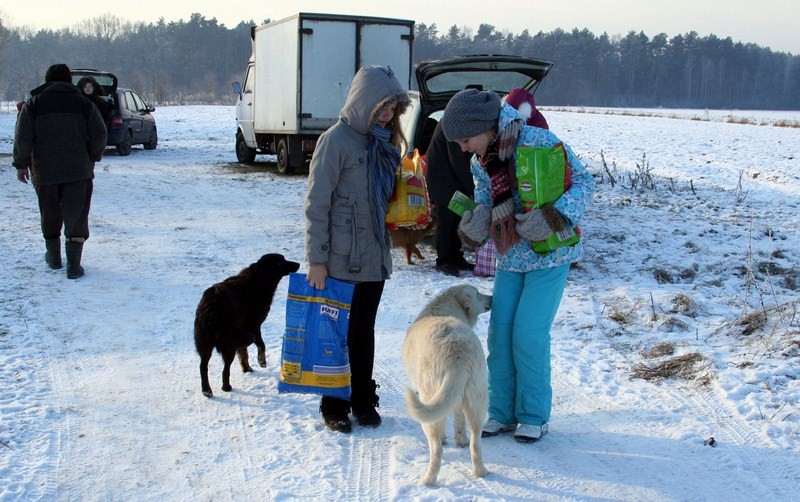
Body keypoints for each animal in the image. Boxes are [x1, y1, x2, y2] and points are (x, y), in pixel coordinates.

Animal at [194, 253, 300, 398]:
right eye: (280, 262)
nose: (298, 264)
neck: (258, 279)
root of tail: (211, 304)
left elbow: (244, 353)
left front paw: (247, 368)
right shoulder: (254, 326)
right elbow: (261, 344)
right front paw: (261, 361)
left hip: (205, 342)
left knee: (203, 366)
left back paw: (206, 390)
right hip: (229, 342)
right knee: (225, 368)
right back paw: (226, 387)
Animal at [404, 286, 490, 486]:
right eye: (477, 292)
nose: (492, 297)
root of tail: (458, 357)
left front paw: (447, 439)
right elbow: (459, 421)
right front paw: (460, 440)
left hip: (428, 401)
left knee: (436, 449)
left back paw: (428, 480)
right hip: (477, 399)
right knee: (476, 443)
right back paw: (480, 472)